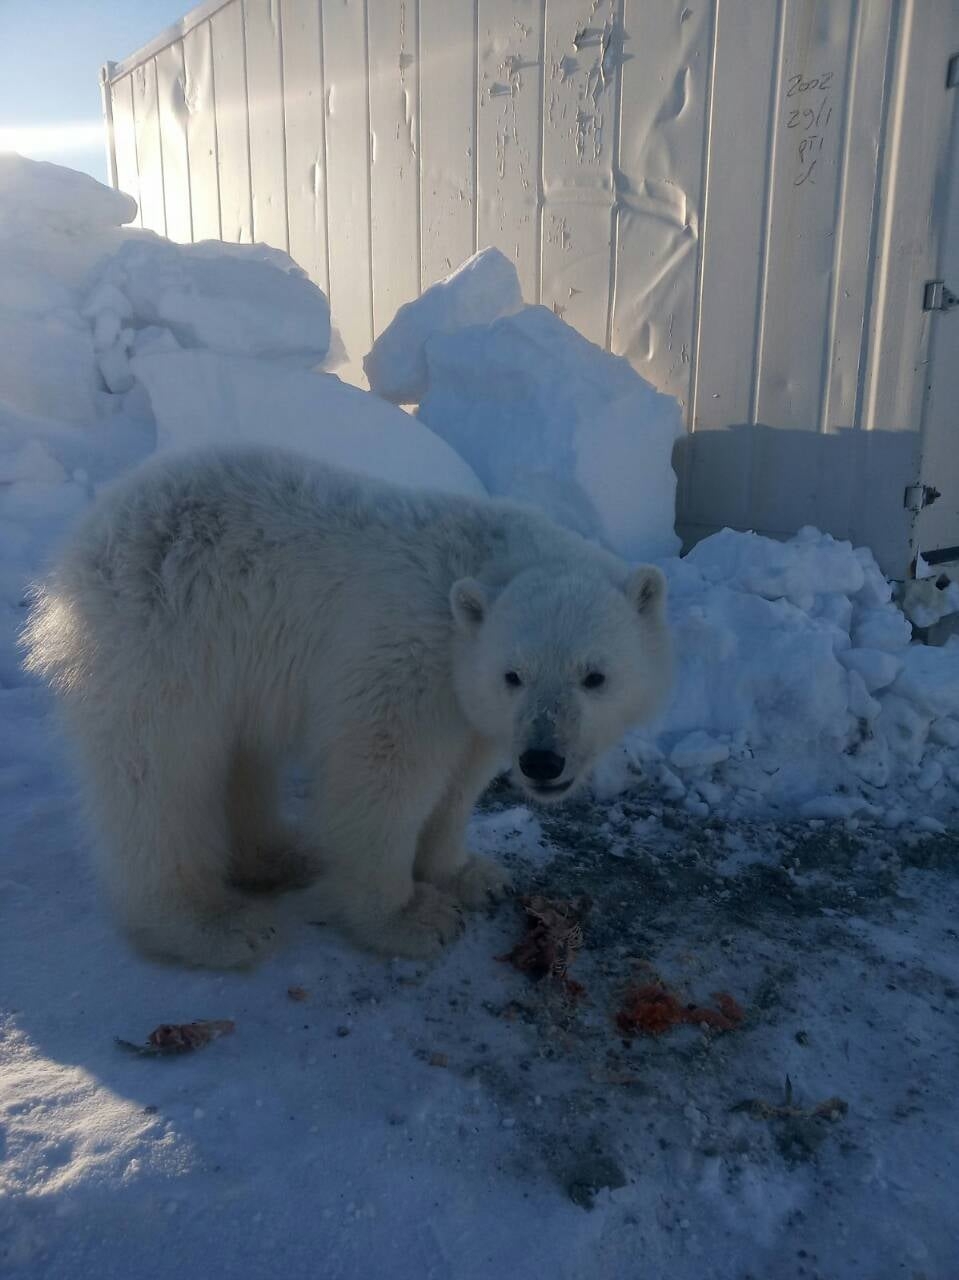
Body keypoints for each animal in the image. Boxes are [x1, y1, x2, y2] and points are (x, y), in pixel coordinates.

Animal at [20, 445, 665, 962]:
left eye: (594, 676)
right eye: (516, 674)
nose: (542, 760)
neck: (479, 568)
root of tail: (88, 533)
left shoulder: (472, 702)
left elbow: (460, 782)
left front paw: (471, 875)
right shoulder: (405, 664)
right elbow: (382, 778)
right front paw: (412, 918)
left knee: (238, 757)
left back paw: (279, 856)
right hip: (165, 637)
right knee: (162, 776)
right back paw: (211, 925)